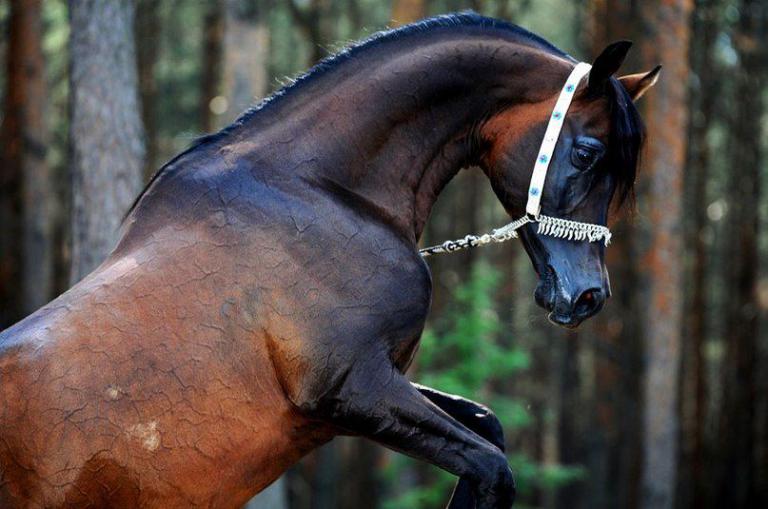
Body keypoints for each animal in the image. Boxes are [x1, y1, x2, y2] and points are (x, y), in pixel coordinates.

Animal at [0, 13, 659, 509]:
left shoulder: (370, 391)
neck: (321, 193)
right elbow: (492, 466)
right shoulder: (352, 390)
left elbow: (488, 426)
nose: (588, 296)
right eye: (587, 152)